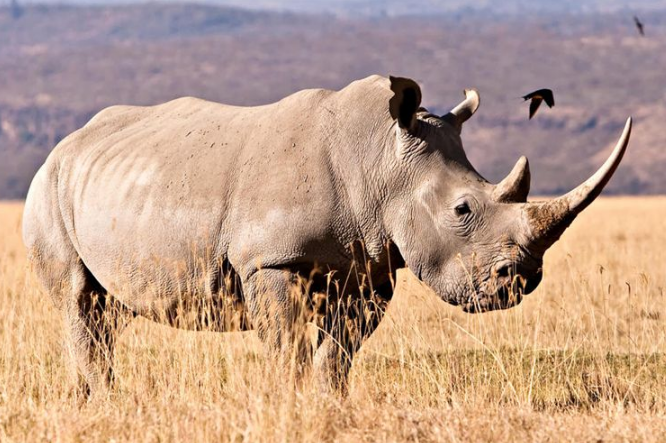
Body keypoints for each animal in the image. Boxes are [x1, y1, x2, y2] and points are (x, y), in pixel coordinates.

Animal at [20, 74, 632, 398]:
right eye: (462, 209)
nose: (520, 280)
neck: (381, 160)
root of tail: (65, 144)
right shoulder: (270, 260)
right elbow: (287, 344)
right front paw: (289, 401)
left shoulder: (371, 268)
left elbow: (339, 351)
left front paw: (328, 403)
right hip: (47, 188)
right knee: (79, 299)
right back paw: (105, 399)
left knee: (107, 311)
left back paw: (94, 400)